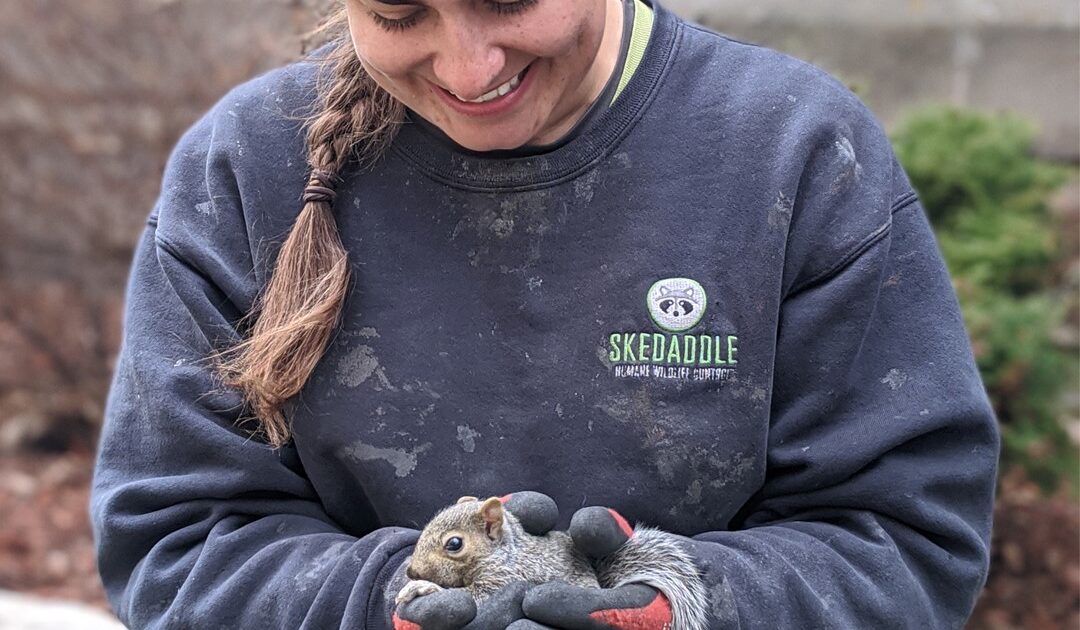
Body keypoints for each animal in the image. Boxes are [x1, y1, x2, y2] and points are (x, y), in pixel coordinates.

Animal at [397, 497, 708, 630]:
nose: (411, 570)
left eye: (454, 544)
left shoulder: (505, 577)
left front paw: (423, 588)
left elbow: (478, 597)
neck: (504, 552)